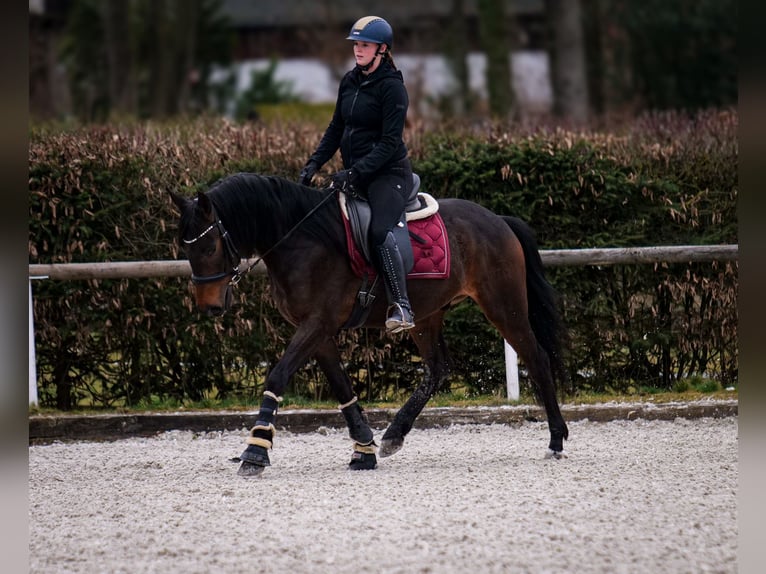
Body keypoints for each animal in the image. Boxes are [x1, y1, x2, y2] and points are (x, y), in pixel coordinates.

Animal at [172, 173, 568, 480]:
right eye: (186, 248)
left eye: (209, 246)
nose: (210, 306)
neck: (303, 238)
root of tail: (497, 219)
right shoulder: (317, 330)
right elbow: (342, 387)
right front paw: (364, 449)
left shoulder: (317, 324)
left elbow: (277, 376)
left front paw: (256, 451)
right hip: (427, 316)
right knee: (437, 369)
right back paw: (394, 434)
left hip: (503, 304)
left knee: (536, 357)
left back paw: (556, 440)